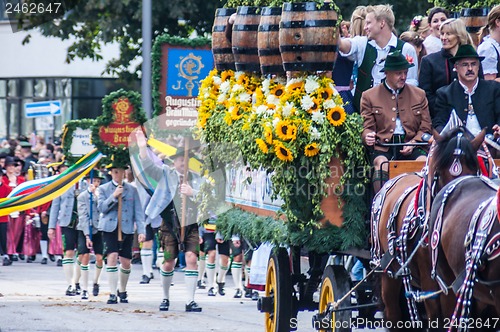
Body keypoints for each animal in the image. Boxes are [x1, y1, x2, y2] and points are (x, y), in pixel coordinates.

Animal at [372, 127, 484, 330]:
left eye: (474, 170)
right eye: (439, 174)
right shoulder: (432, 283)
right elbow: (439, 317)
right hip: (389, 271)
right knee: (393, 312)